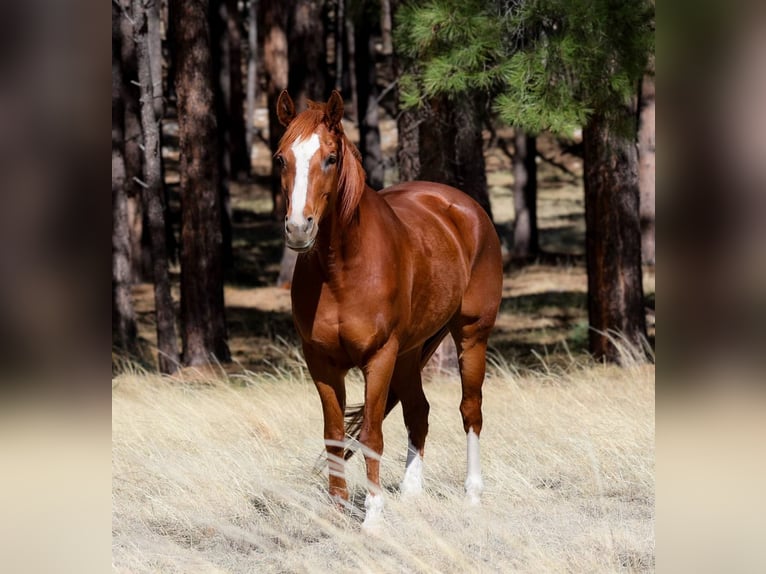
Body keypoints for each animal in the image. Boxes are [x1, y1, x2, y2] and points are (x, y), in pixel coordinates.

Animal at [275, 90, 503, 527]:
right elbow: (334, 433)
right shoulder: (321, 362)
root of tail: (464, 207)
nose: (298, 228)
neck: (342, 270)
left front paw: (373, 517)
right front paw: (337, 511)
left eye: (331, 158)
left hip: (471, 334)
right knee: (418, 411)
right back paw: (412, 493)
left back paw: (473, 495)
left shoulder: (378, 357)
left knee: (471, 410)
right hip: (410, 352)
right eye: (281, 158)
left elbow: (371, 435)